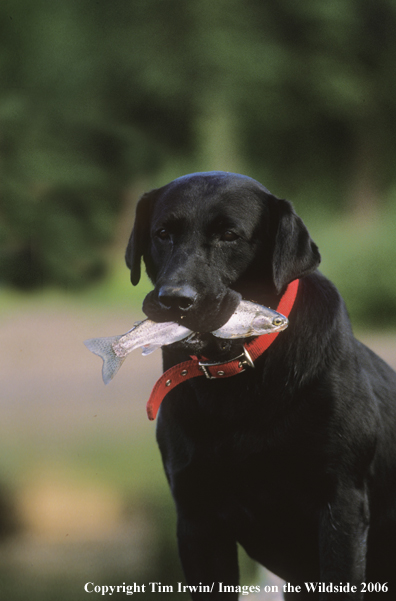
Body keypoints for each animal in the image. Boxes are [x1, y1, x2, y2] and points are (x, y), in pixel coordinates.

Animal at [125, 171, 396, 596]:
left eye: (230, 235)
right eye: (163, 233)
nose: (175, 300)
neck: (236, 384)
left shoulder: (342, 507)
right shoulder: (196, 517)